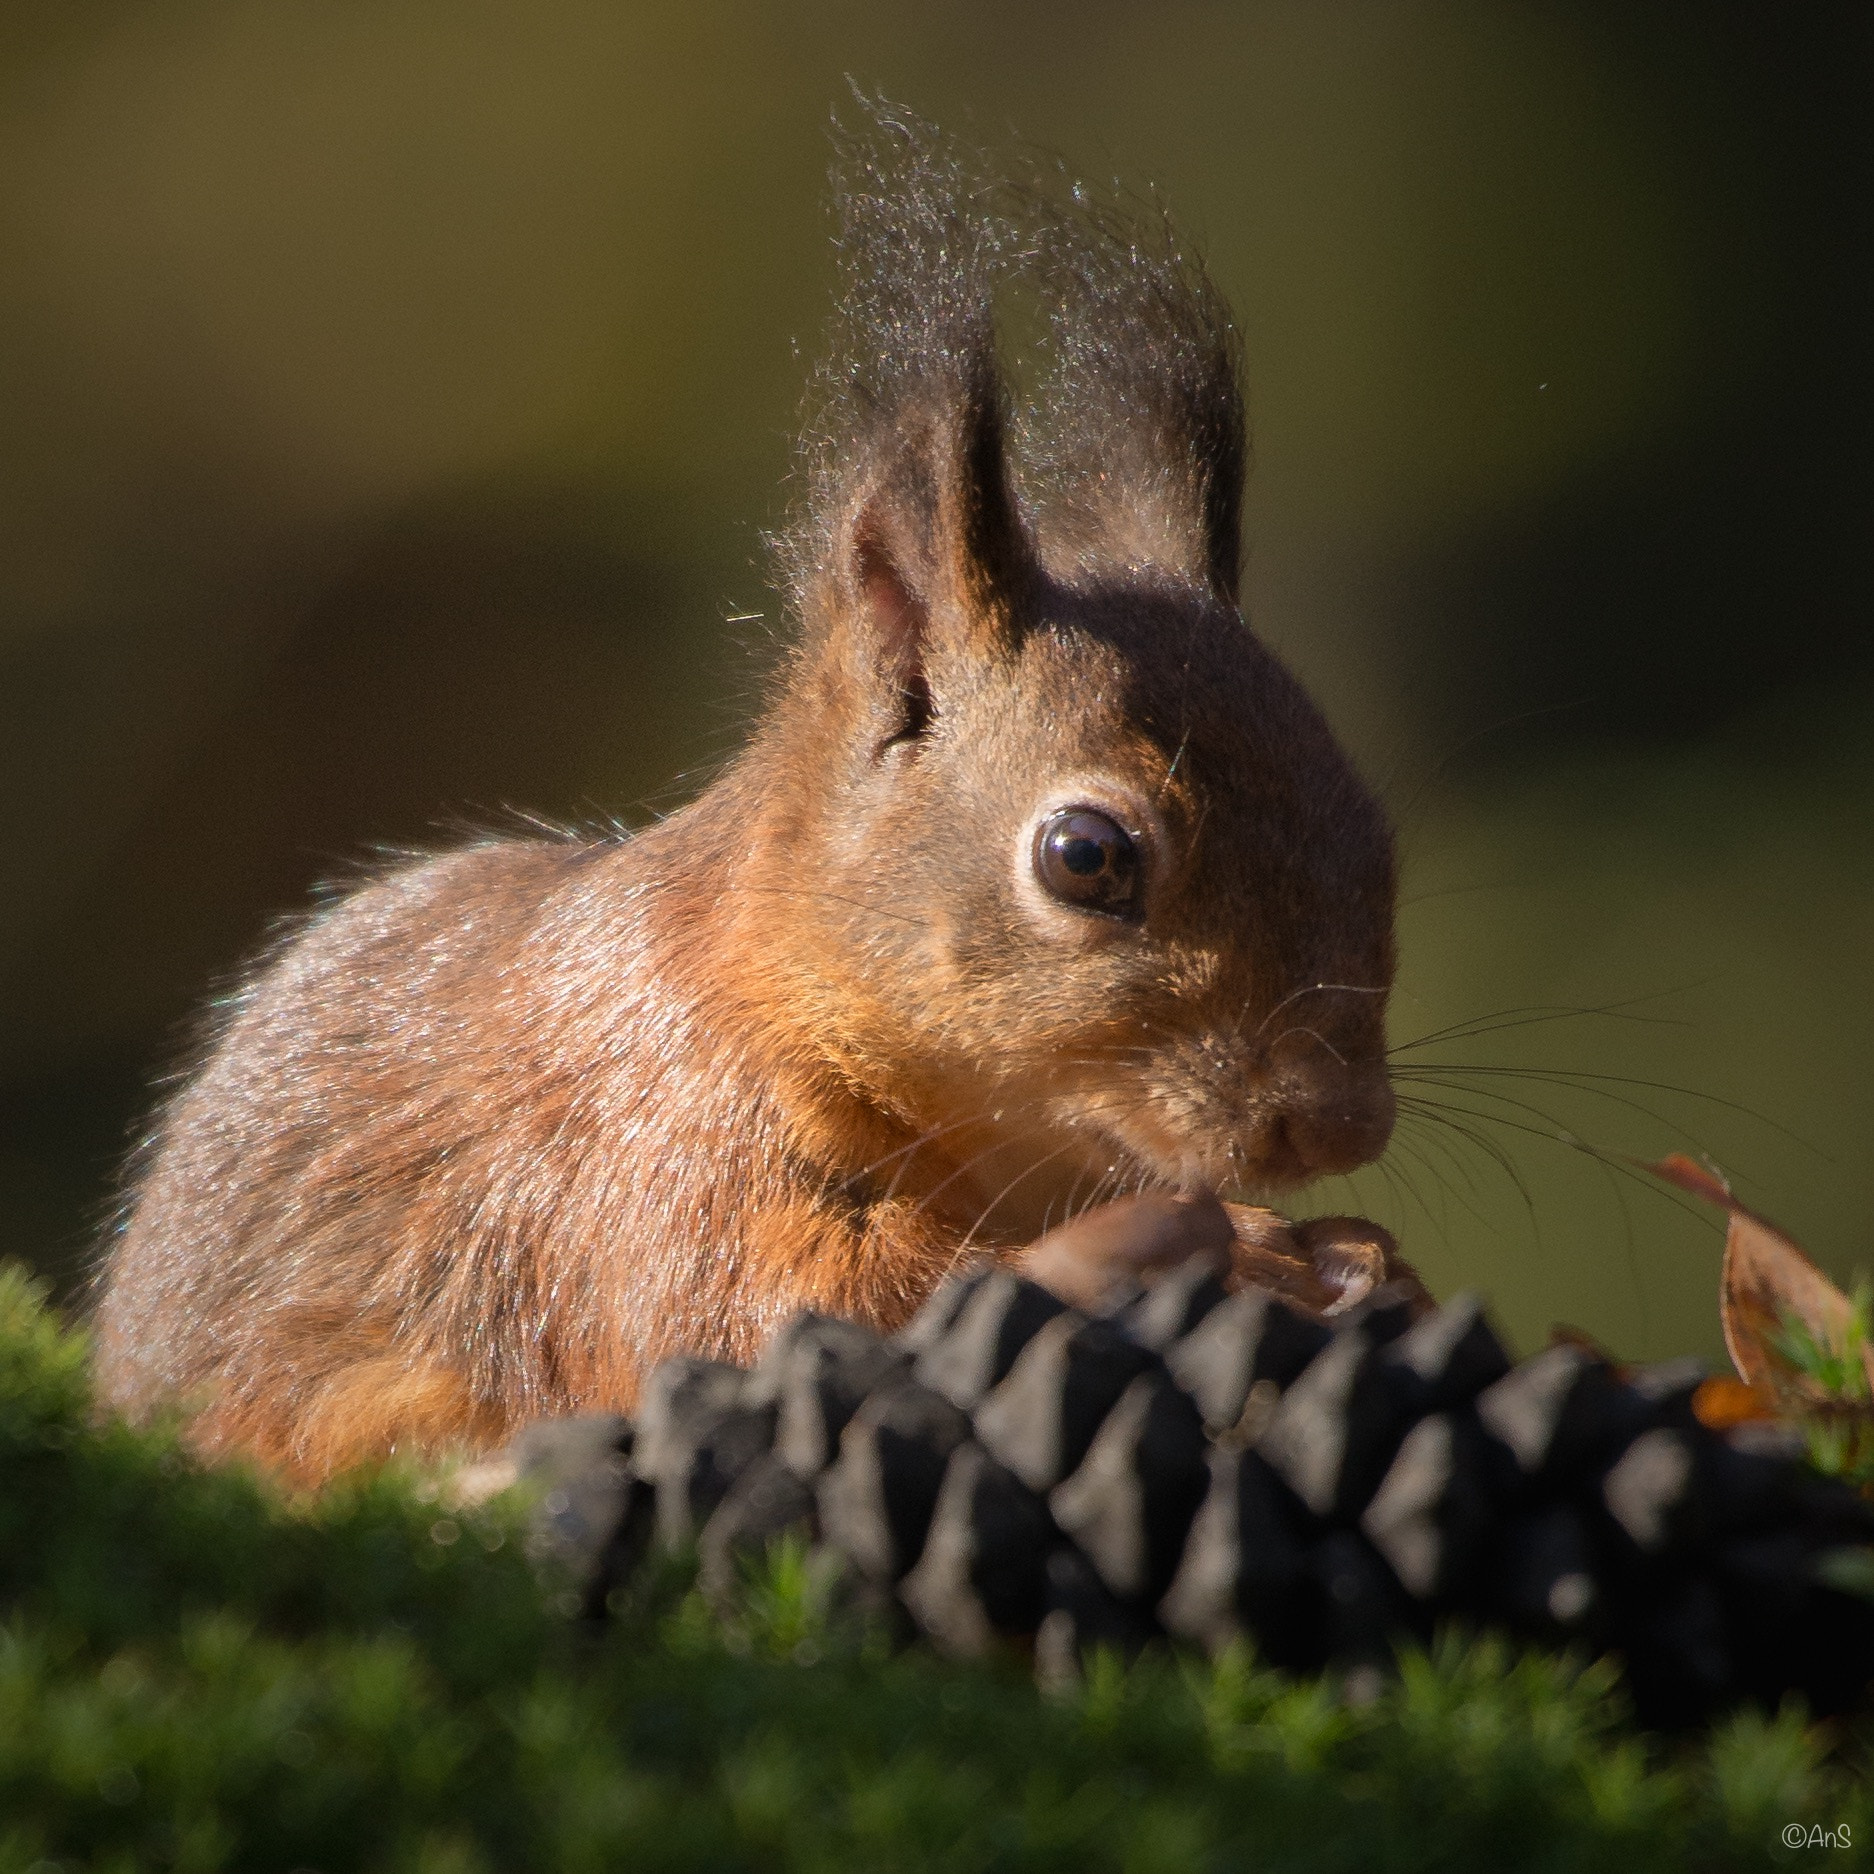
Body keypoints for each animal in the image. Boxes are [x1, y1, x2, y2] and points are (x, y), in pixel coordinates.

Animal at [91, 109, 1409, 1484]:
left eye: (1380, 839)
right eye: (1085, 855)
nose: (1334, 1124)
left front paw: (1362, 1255)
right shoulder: (653, 1150)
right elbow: (762, 1308)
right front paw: (1188, 1248)